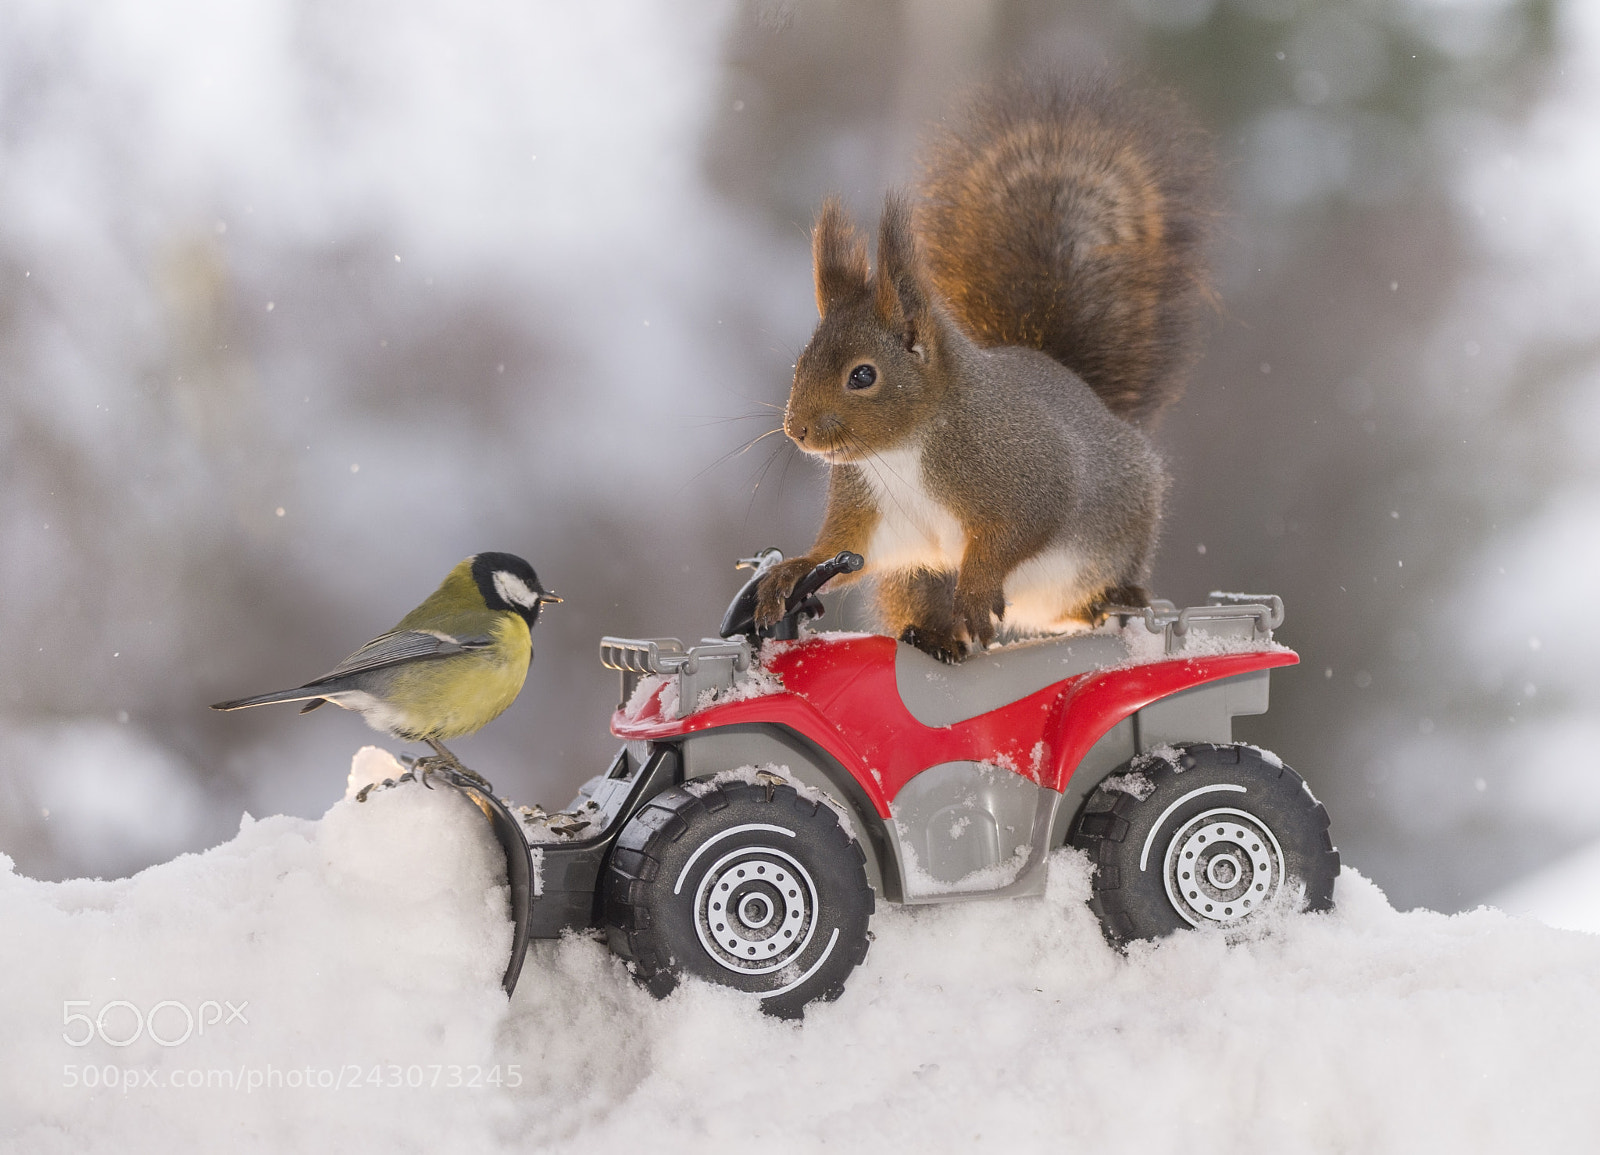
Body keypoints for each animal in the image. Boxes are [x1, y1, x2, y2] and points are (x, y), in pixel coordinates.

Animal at [752, 75, 1215, 663]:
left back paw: (1111, 598)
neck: (903, 450)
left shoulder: (1025, 473)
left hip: (1111, 539)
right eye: (801, 362)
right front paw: (792, 571)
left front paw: (974, 590)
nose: (797, 431)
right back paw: (935, 635)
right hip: (917, 578)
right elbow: (842, 550)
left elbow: (1016, 531)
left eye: (862, 375)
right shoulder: (873, 513)